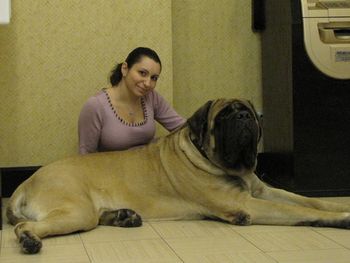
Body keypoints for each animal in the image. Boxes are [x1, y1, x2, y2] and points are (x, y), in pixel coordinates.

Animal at [5, 98, 350, 254]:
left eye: (248, 113)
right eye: (222, 117)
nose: (243, 117)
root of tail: (26, 181)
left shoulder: (261, 191)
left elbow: (308, 200)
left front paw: (339, 205)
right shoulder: (247, 205)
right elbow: (297, 210)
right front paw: (343, 218)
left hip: (84, 210)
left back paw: (124, 216)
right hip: (76, 210)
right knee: (25, 226)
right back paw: (29, 239)